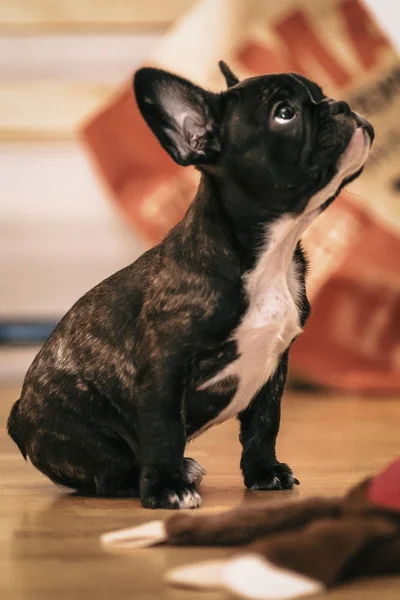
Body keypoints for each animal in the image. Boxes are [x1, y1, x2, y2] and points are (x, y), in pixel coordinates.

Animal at [7, 63, 376, 508]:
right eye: (284, 114)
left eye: (320, 94)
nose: (340, 106)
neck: (269, 255)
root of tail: (18, 417)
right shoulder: (165, 367)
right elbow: (164, 430)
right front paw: (165, 488)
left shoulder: (274, 368)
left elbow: (263, 424)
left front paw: (264, 472)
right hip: (85, 432)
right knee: (107, 470)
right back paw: (156, 477)